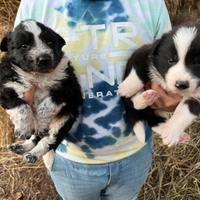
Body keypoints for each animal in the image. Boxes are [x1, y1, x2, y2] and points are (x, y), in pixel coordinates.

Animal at [0, 19, 82, 168]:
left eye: (50, 42)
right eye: (24, 46)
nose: (44, 59)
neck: (38, 76)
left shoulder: (67, 88)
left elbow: (46, 106)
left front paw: (42, 122)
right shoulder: (6, 88)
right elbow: (22, 106)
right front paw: (23, 129)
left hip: (64, 120)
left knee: (48, 140)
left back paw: (32, 154)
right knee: (35, 137)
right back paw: (21, 147)